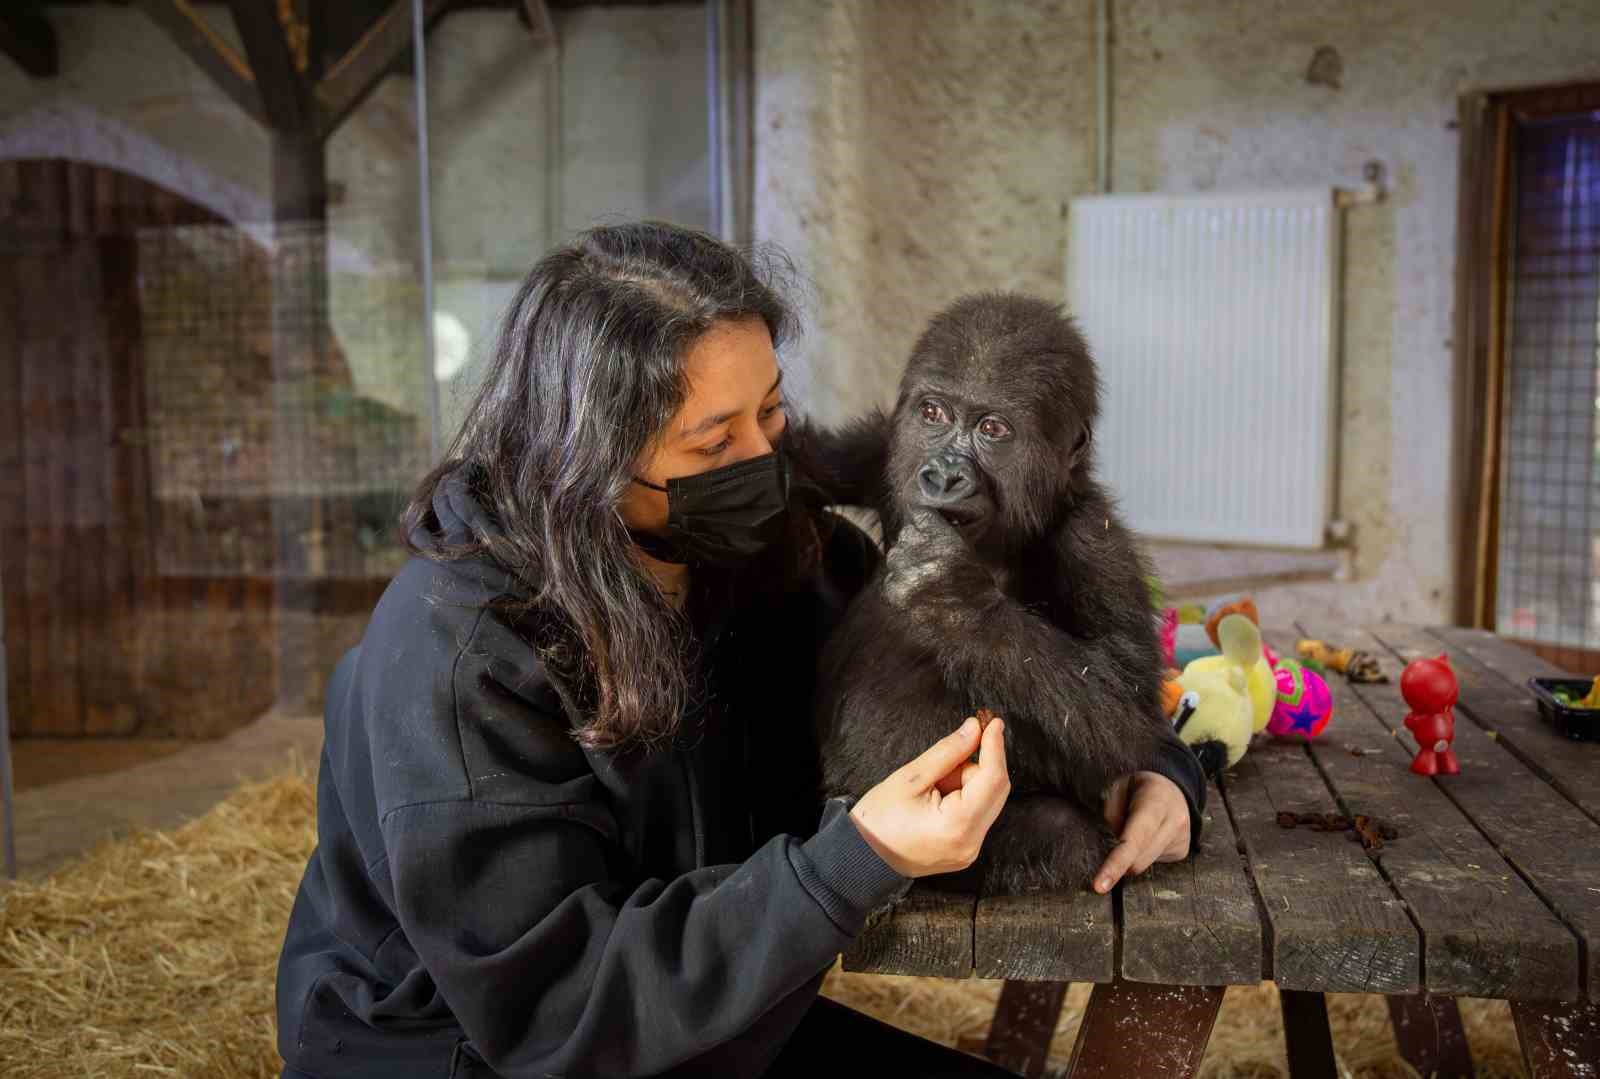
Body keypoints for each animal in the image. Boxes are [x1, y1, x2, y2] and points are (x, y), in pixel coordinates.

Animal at [819, 289, 1171, 883]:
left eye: (992, 430)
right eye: (933, 414)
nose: (943, 475)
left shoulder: (1096, 543)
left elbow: (1129, 715)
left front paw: (949, 592)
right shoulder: (885, 458)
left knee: (1062, 832)